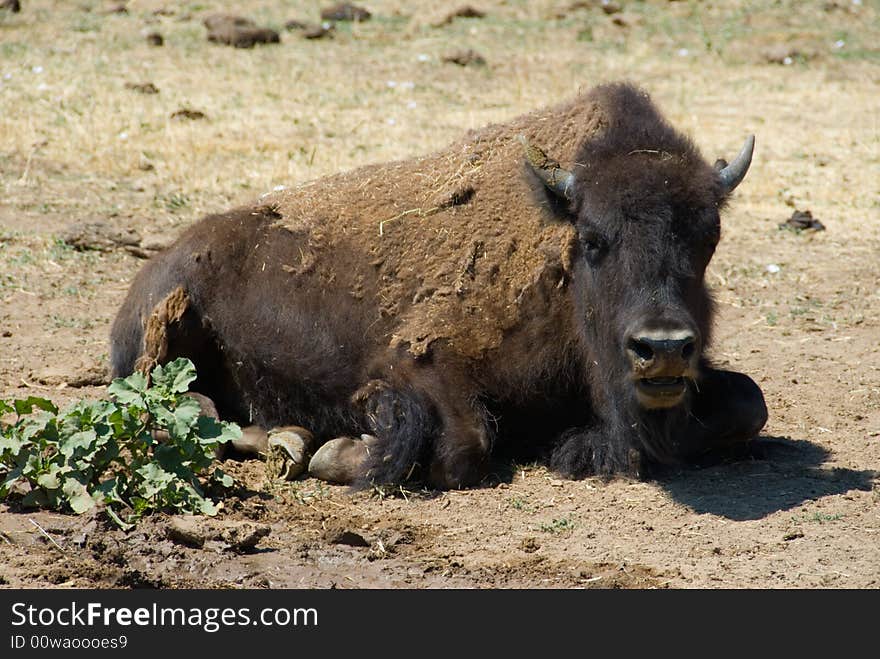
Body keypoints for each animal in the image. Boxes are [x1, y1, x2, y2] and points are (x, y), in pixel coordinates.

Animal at [110, 82, 768, 490]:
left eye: (708, 237)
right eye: (594, 240)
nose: (662, 348)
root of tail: (163, 260)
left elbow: (750, 402)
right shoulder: (419, 360)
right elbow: (463, 444)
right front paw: (342, 454)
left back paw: (289, 439)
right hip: (158, 348)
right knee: (181, 409)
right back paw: (296, 445)